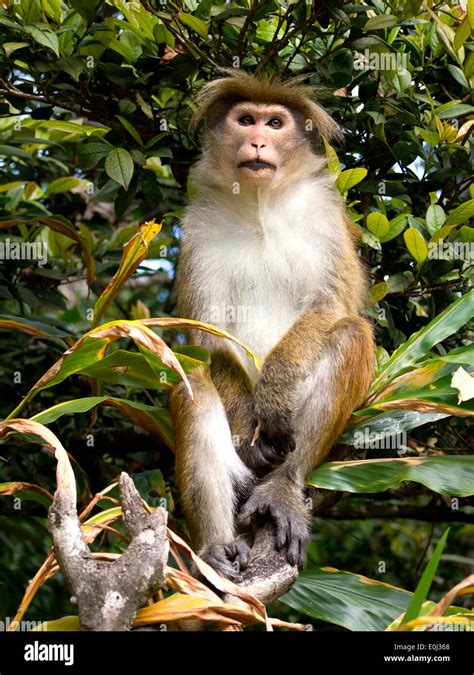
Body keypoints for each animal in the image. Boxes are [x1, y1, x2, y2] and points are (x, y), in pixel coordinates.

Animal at [169, 71, 374, 584]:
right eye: (246, 120)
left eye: (275, 123)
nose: (258, 140)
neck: (260, 205)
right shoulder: (197, 228)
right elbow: (208, 337)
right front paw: (247, 426)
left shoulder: (325, 214)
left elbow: (330, 304)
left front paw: (275, 393)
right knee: (193, 380)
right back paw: (216, 548)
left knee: (350, 334)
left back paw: (282, 488)